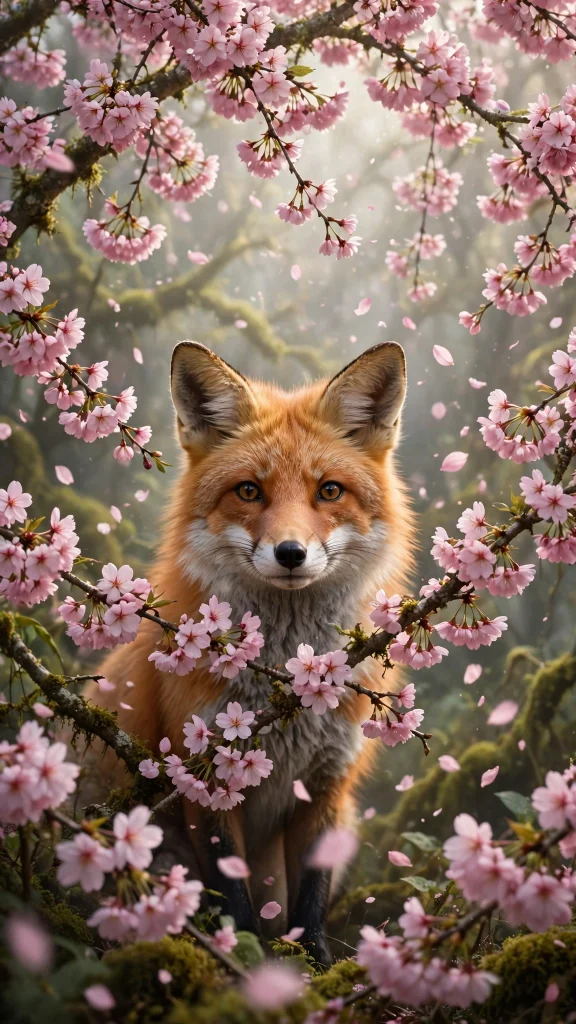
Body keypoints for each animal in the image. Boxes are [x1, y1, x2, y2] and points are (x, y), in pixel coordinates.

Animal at [84, 339, 413, 965]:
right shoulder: (204, 776)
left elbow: (310, 902)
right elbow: (231, 895)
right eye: (249, 490)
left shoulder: (328, 786)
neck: (285, 681)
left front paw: (315, 968)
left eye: (328, 490)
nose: (290, 553)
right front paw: (241, 961)